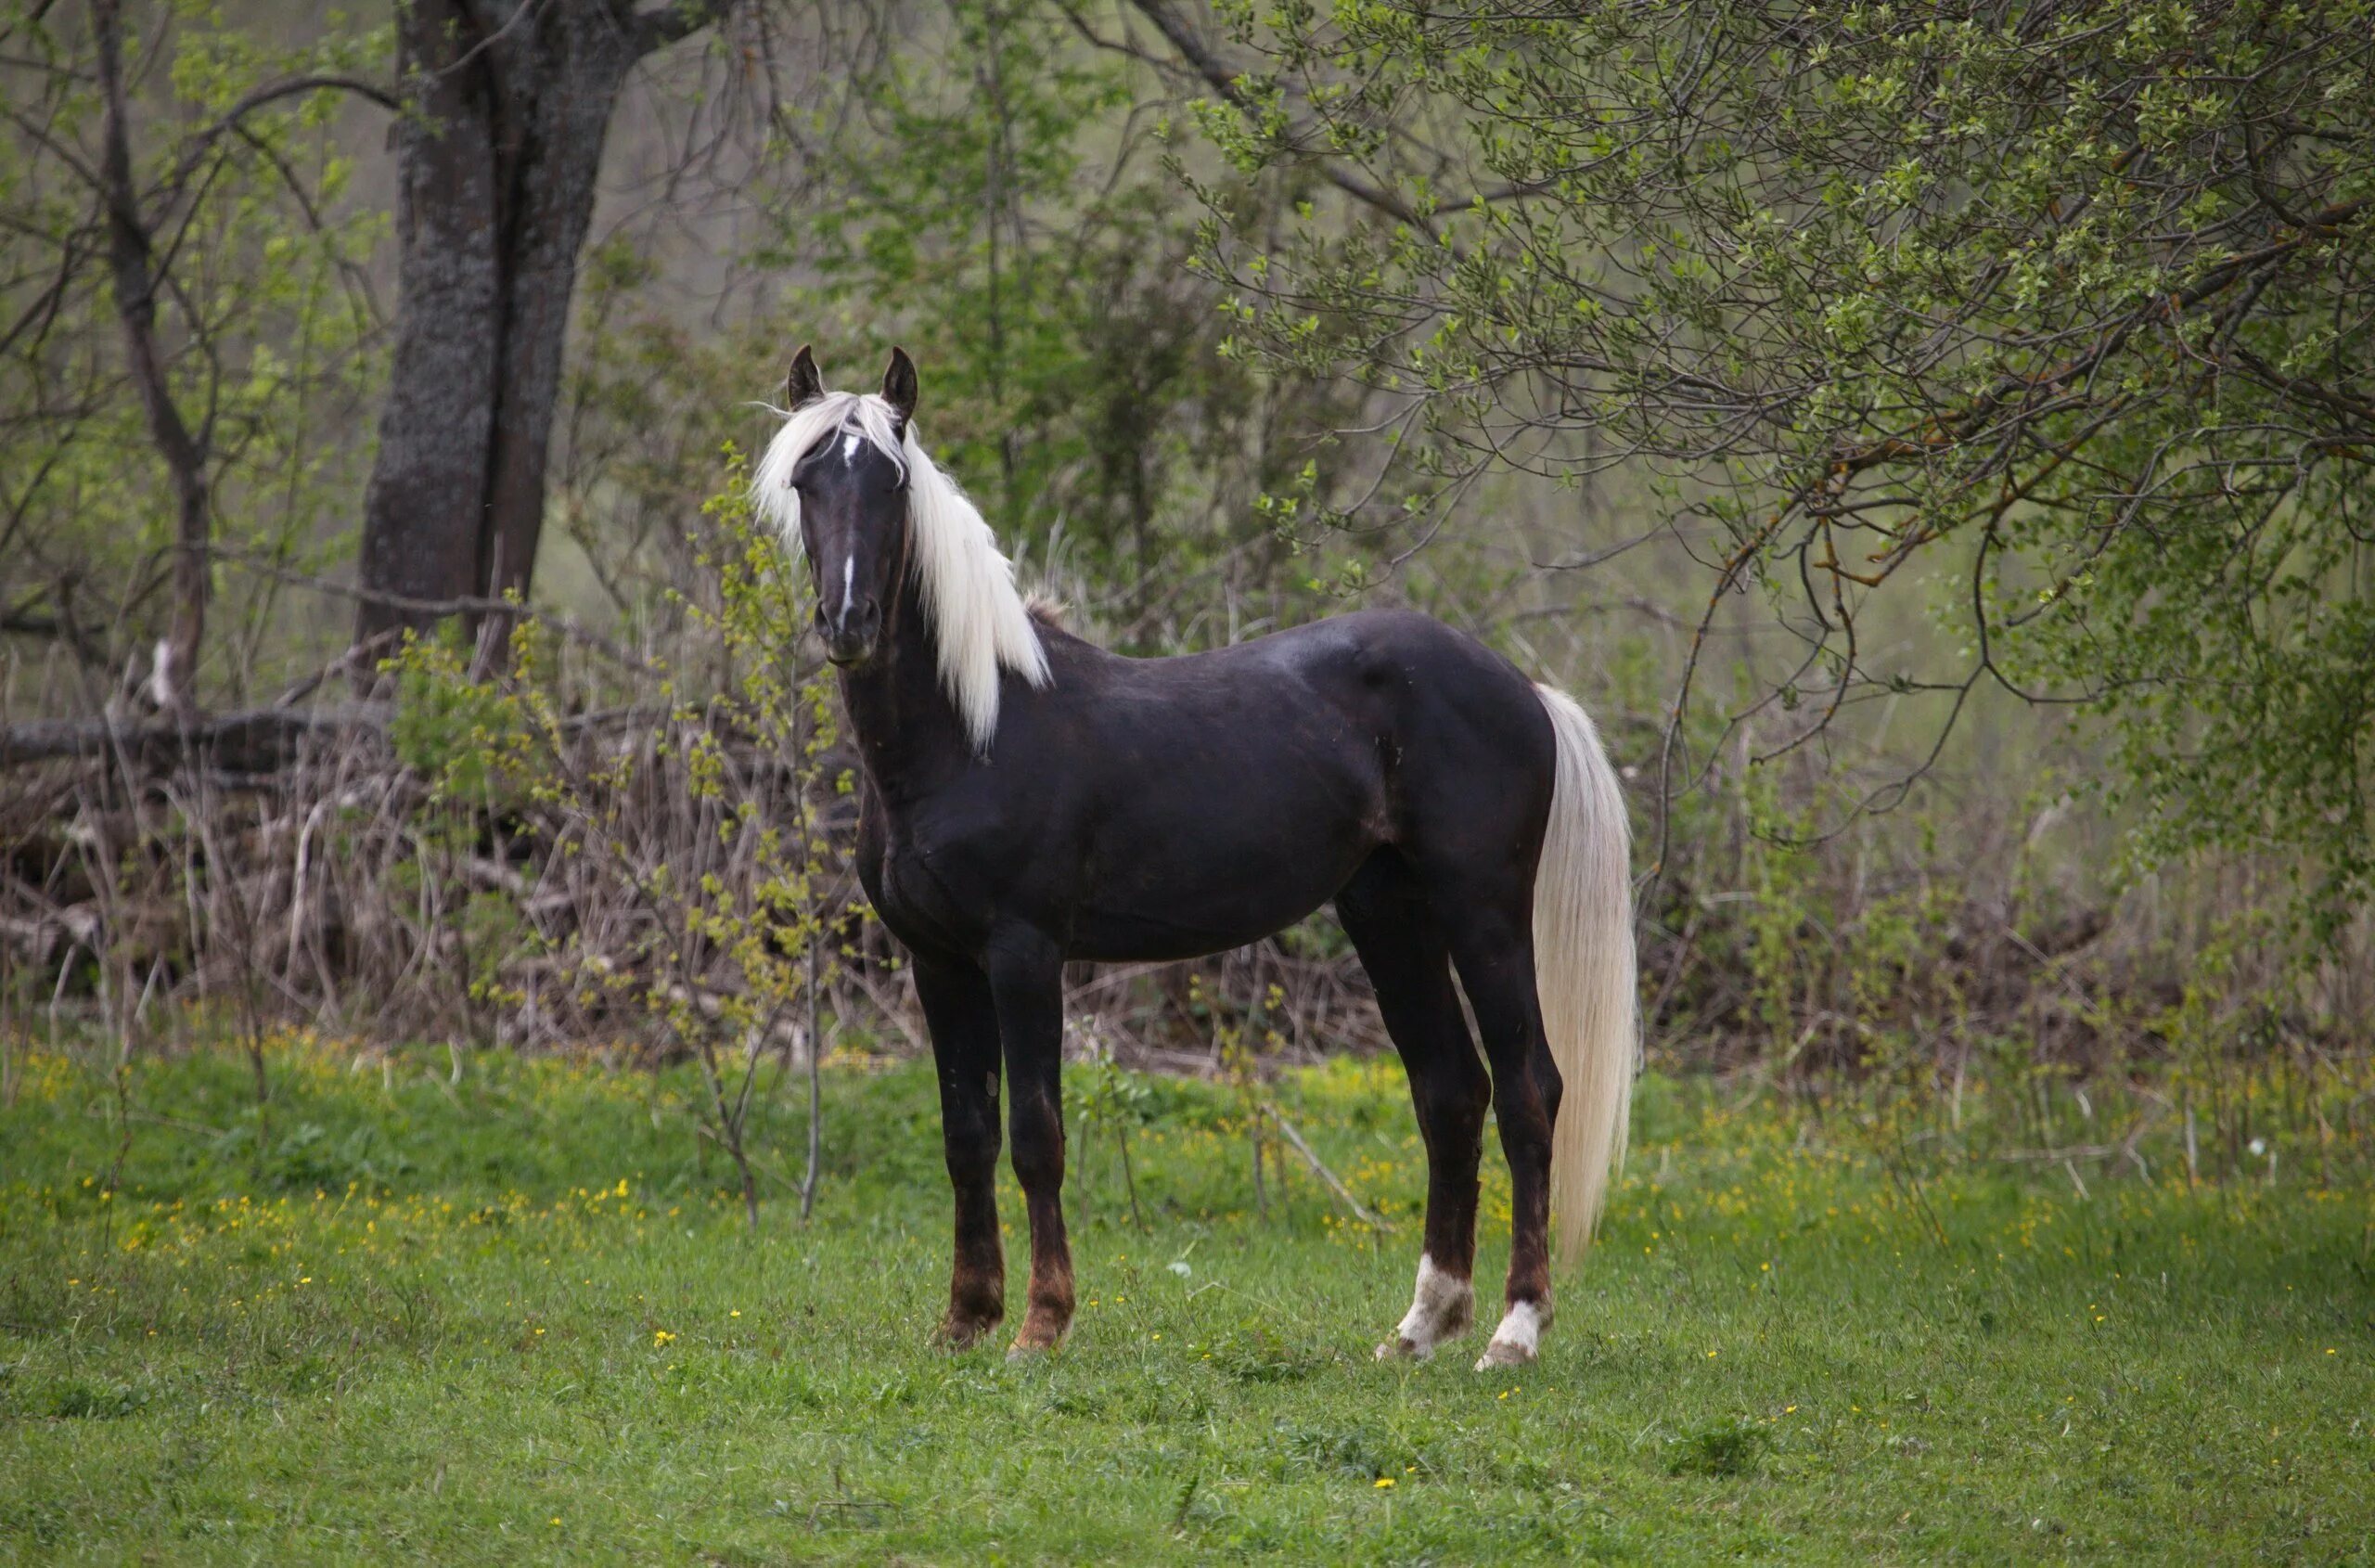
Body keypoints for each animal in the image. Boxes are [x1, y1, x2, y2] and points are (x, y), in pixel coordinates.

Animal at [760, 349, 1634, 1368]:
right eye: (806, 480)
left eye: (892, 484)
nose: (848, 623)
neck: (973, 731)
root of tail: (1521, 687)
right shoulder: (936, 961)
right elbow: (965, 1135)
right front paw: (964, 1319)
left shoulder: (1024, 954)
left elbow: (1035, 1135)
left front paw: (1040, 1325)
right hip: (1388, 913)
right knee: (1451, 1091)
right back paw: (1419, 1328)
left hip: (1483, 912)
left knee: (1529, 1091)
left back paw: (1513, 1330)